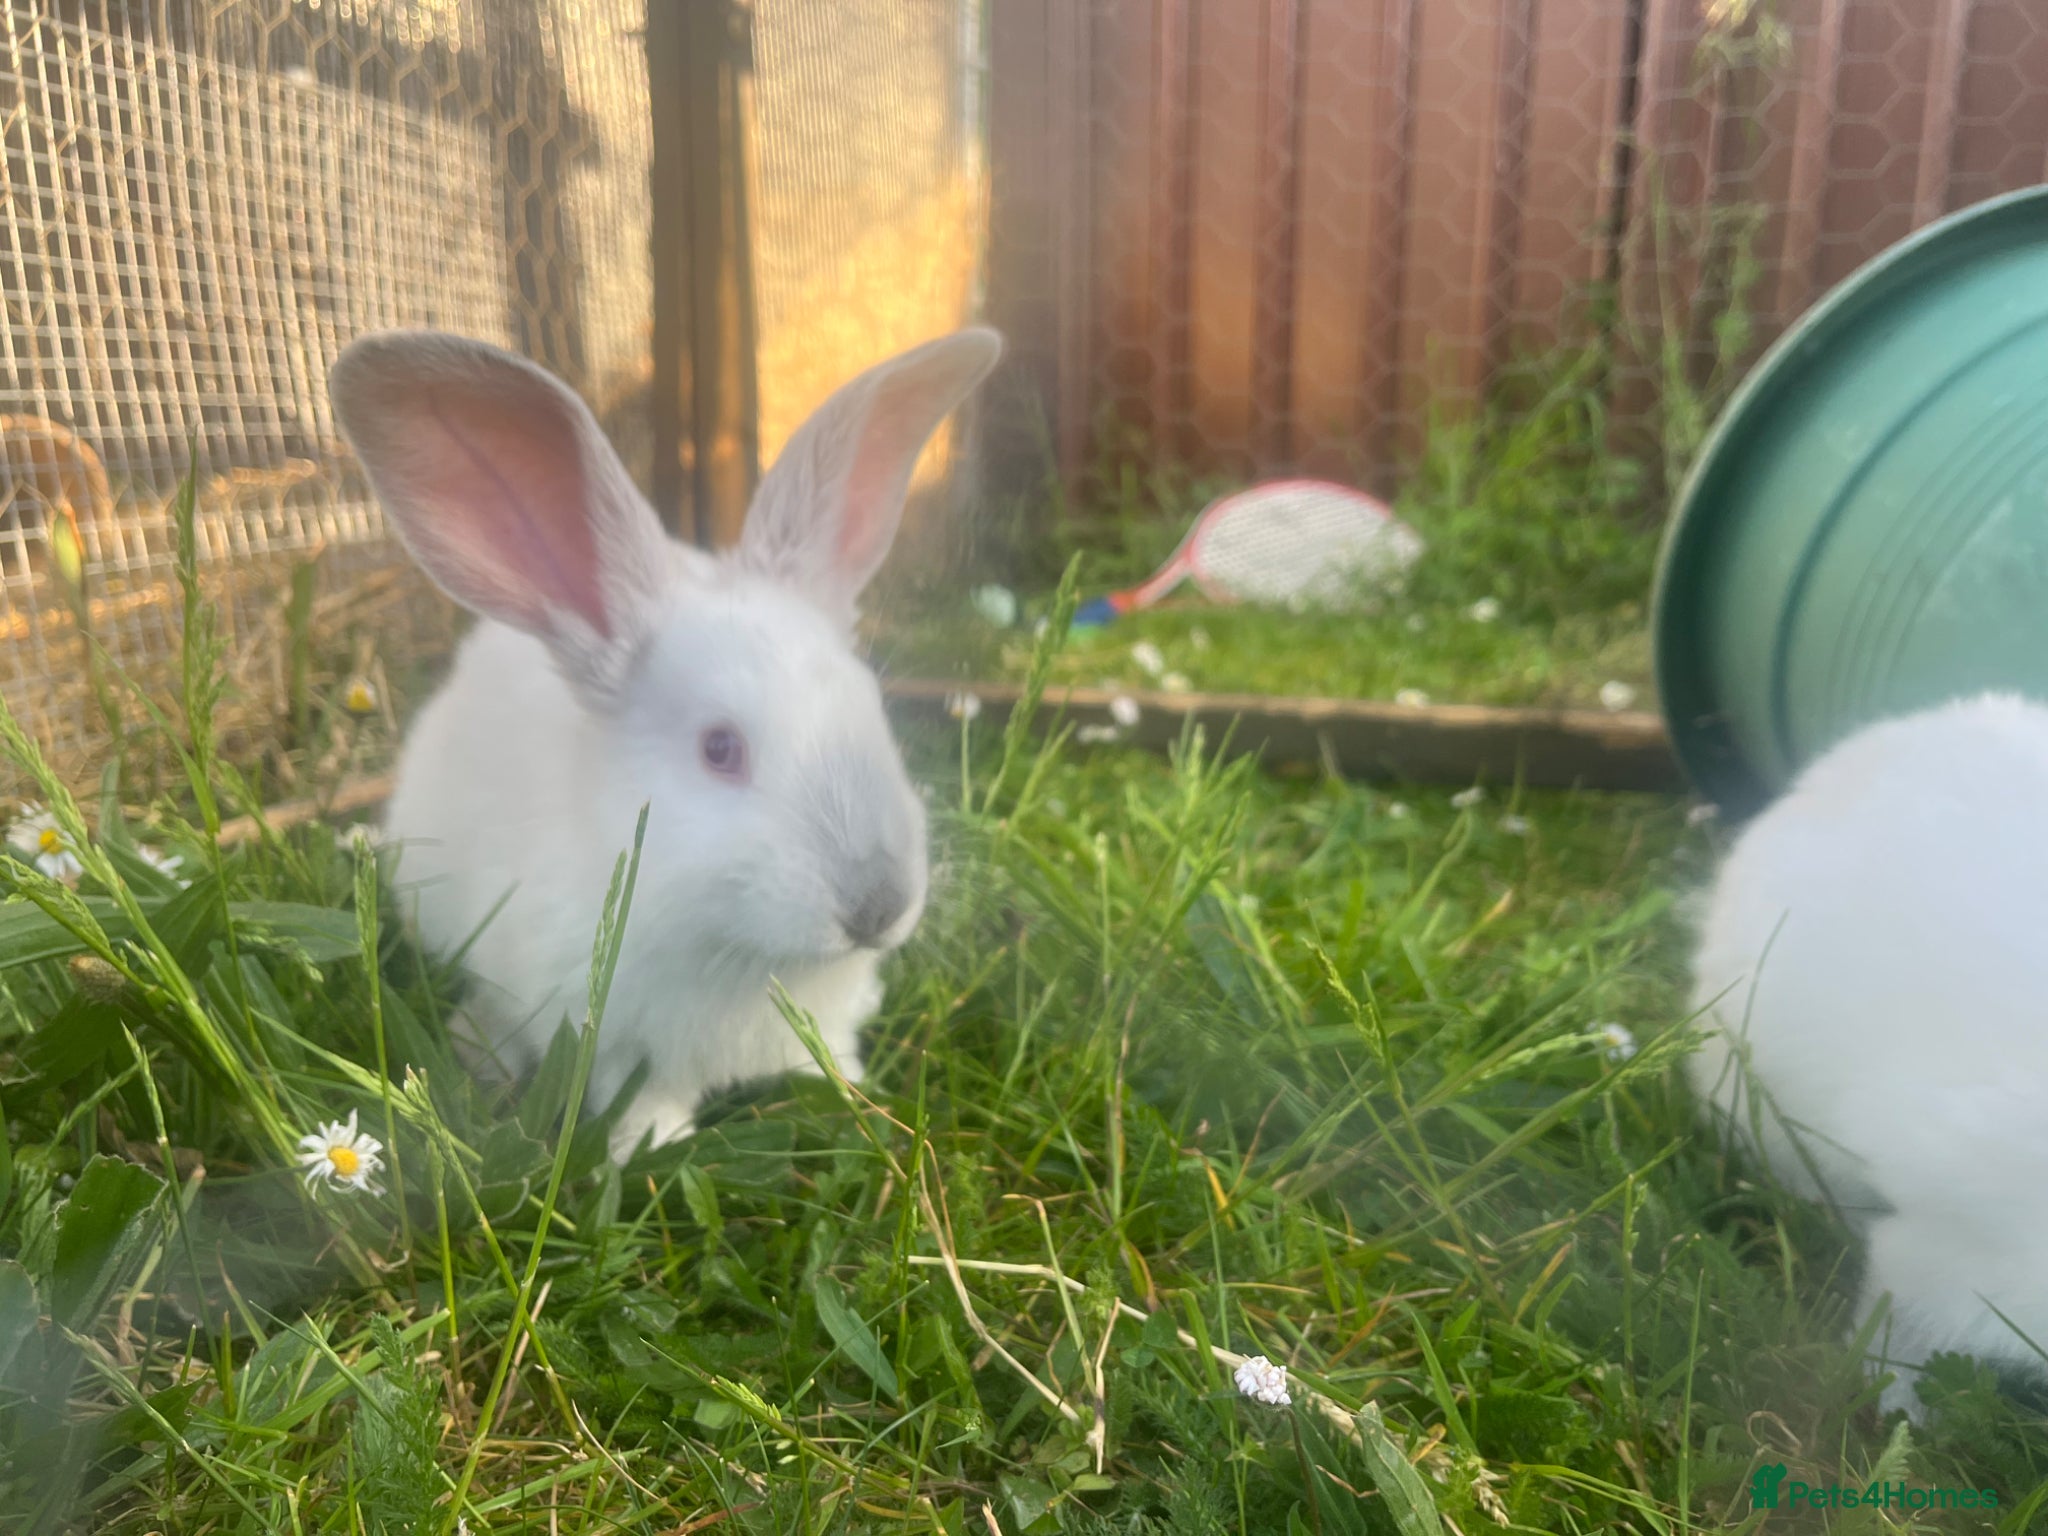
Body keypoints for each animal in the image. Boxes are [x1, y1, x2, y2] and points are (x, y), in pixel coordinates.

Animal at [329, 325, 1002, 1154]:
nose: (879, 905)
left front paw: (849, 1094)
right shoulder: (611, 1043)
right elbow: (637, 1096)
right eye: (719, 749)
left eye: (872, 706)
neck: (745, 953)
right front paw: (652, 1145)